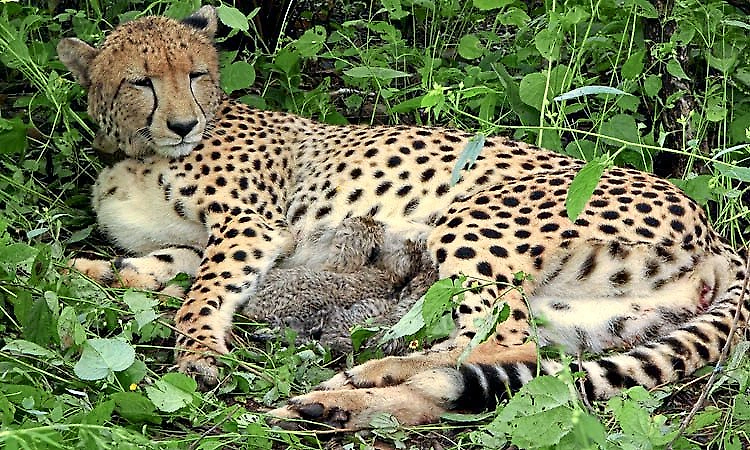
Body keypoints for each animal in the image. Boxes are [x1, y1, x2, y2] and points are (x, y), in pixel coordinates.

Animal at [57, 5, 749, 430]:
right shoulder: (204, 242)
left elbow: (199, 295)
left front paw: (197, 353)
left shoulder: (251, 227)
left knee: (504, 342)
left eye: (196, 73)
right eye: (141, 81)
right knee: (499, 363)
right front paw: (81, 272)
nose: (182, 124)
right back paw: (337, 402)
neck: (139, 152)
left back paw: (355, 382)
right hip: (590, 316)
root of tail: (716, 231)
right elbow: (151, 266)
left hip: (473, 219)